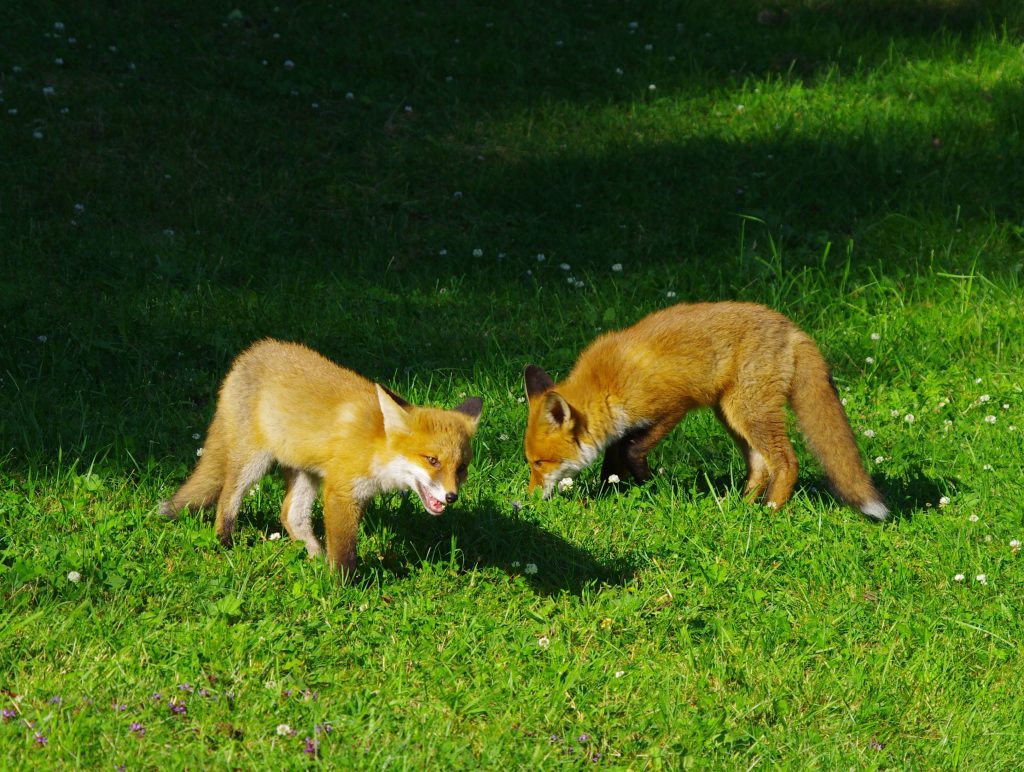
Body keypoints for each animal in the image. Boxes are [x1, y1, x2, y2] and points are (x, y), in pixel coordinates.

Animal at [160, 337, 483, 573]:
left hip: (307, 472)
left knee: (291, 515)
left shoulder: (358, 494)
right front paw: (345, 589)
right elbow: (344, 551)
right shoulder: (340, 491)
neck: (375, 448)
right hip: (254, 461)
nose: (452, 497)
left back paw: (313, 557)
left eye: (462, 468)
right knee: (227, 498)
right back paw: (224, 542)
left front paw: (330, 572)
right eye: (432, 460)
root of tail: (251, 352)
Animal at [524, 301, 884, 518]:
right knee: (759, 466)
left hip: (749, 412)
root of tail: (791, 327)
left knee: (785, 462)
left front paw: (650, 484)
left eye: (540, 463)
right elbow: (614, 459)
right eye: (530, 463)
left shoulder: (672, 407)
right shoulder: (622, 426)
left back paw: (769, 510)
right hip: (730, 414)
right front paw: (611, 490)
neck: (606, 385)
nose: (528, 497)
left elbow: (631, 450)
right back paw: (740, 507)